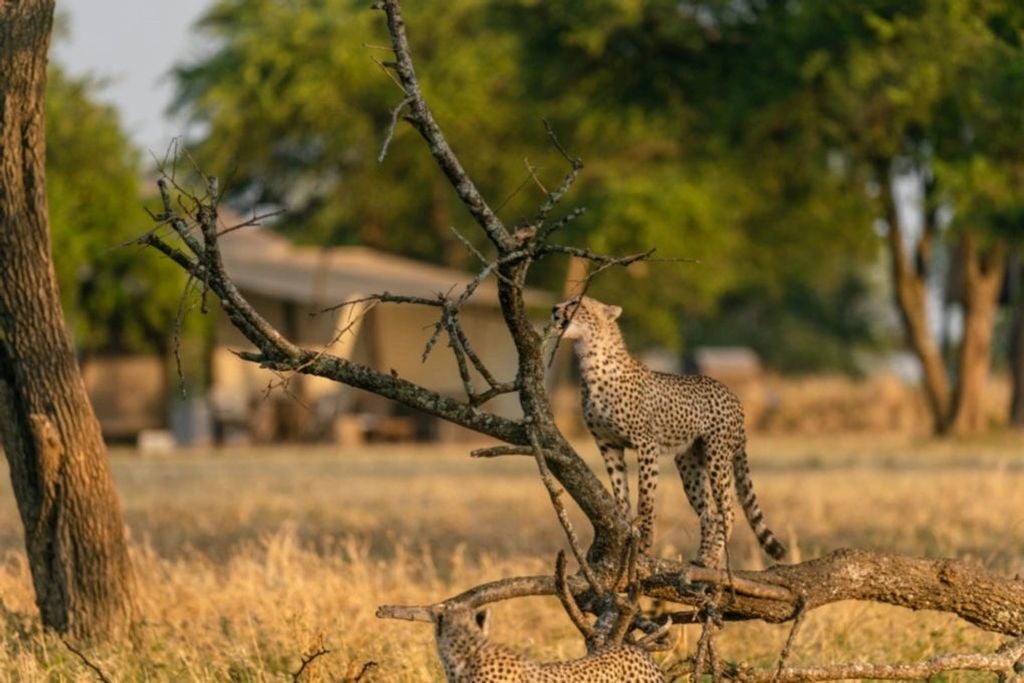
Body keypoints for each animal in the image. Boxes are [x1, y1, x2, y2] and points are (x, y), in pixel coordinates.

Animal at [552, 294, 782, 565]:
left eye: (576, 303)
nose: (554, 309)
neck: (591, 359)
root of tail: (734, 396)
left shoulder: (646, 445)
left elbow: (646, 498)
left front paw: (643, 544)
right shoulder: (608, 444)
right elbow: (621, 493)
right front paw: (627, 531)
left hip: (717, 456)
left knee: (727, 509)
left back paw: (712, 558)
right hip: (689, 462)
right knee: (708, 511)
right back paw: (702, 556)